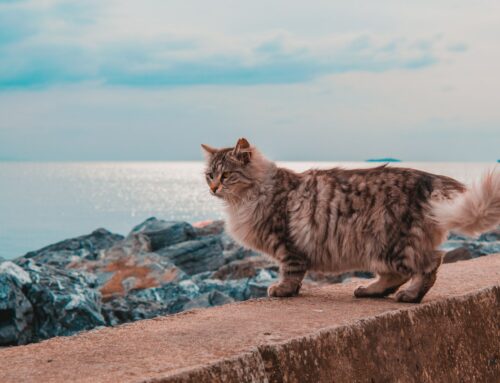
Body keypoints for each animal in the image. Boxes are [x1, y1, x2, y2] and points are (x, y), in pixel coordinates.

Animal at [200, 138, 500, 304]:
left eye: (226, 175)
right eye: (209, 175)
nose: (213, 188)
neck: (246, 199)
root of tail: (430, 178)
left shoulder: (286, 243)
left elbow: (291, 271)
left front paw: (283, 290)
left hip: (390, 242)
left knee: (428, 265)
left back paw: (410, 297)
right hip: (381, 249)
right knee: (397, 275)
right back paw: (370, 291)